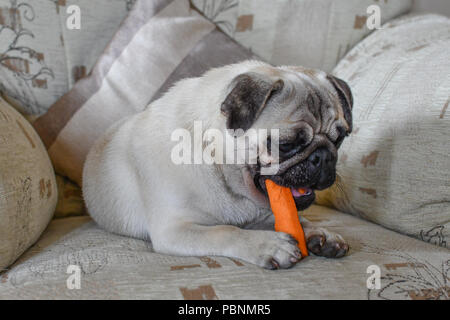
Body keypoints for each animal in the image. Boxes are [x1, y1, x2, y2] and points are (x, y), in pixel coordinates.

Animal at [82, 60, 354, 270]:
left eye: (340, 139)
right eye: (286, 144)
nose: (323, 157)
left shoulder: (264, 214)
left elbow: (298, 221)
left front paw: (320, 234)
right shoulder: (174, 229)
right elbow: (224, 231)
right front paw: (269, 245)